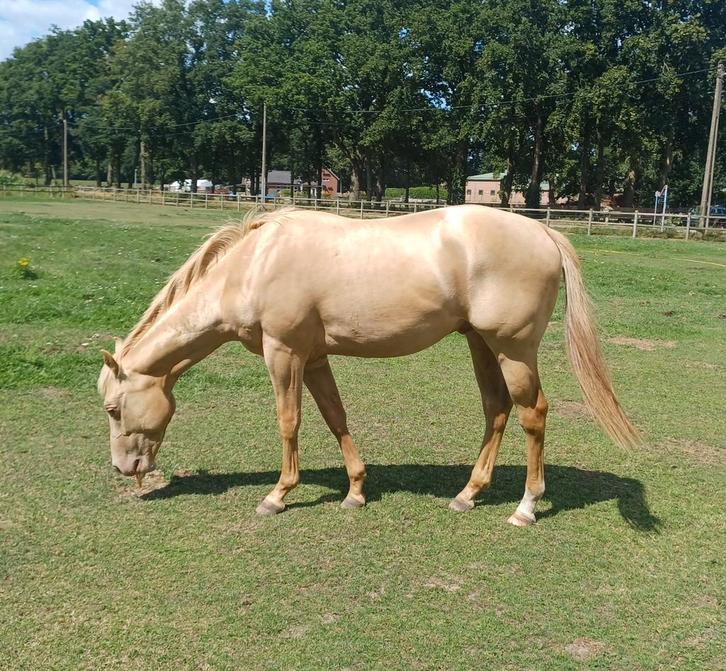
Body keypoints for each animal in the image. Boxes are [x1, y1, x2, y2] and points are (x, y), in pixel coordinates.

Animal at [98, 205, 638, 525]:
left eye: (112, 409)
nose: (126, 469)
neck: (254, 265)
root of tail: (543, 230)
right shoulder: (314, 357)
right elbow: (335, 417)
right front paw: (355, 490)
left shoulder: (284, 353)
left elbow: (289, 422)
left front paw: (277, 495)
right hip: (482, 345)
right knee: (496, 409)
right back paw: (468, 492)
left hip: (513, 349)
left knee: (533, 414)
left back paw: (526, 506)